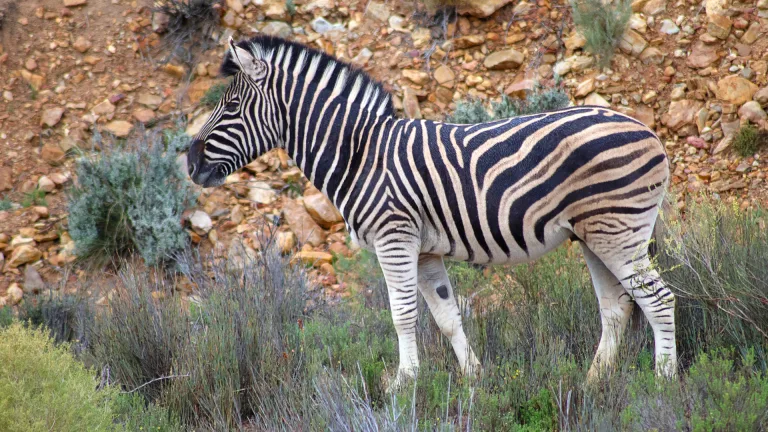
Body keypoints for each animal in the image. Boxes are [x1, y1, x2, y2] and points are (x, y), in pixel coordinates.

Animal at [187, 35, 677, 389]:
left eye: (232, 106)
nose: (189, 163)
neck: (360, 154)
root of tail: (647, 130)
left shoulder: (394, 238)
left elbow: (402, 314)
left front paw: (403, 384)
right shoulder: (423, 251)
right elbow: (446, 316)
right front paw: (475, 379)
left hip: (620, 231)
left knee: (658, 298)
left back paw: (664, 381)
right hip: (595, 235)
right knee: (616, 308)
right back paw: (594, 380)